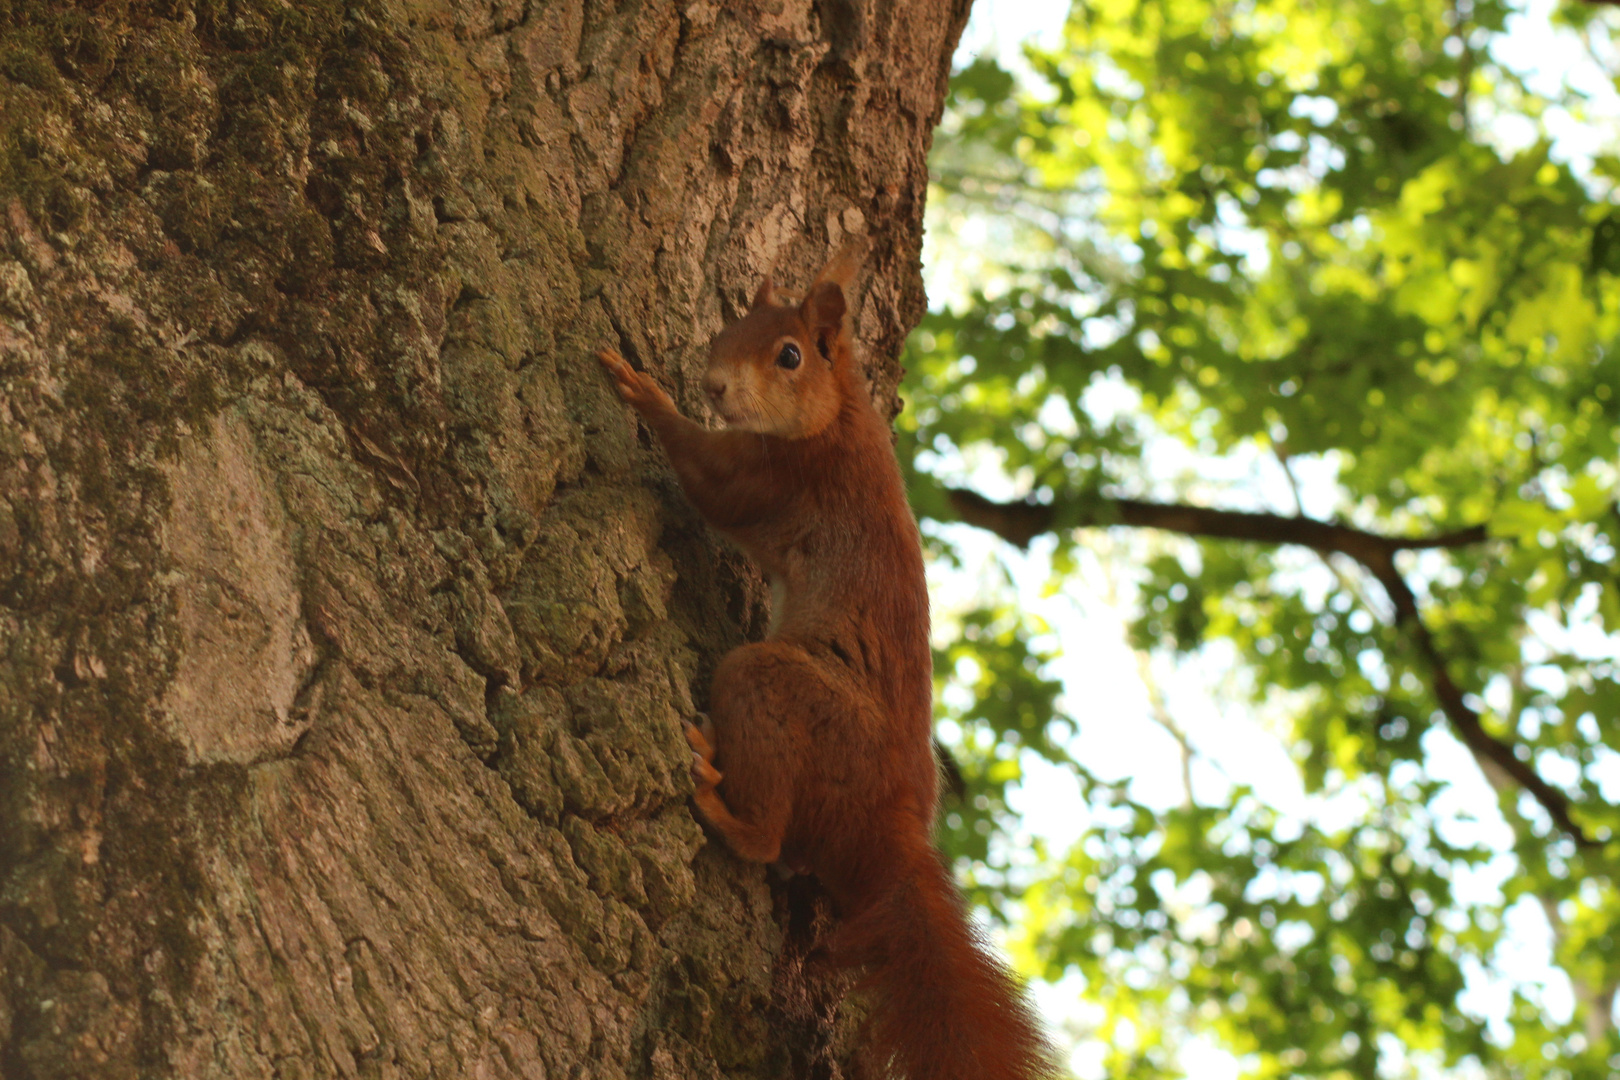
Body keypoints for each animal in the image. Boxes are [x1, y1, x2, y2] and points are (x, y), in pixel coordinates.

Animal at [602, 247, 1056, 1080]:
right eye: (729, 328)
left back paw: (719, 801)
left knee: (766, 837)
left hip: (782, 690)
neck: (841, 411)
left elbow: (708, 480)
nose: (714, 386)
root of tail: (893, 828)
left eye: (789, 355)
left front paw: (642, 389)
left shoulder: (785, 477)